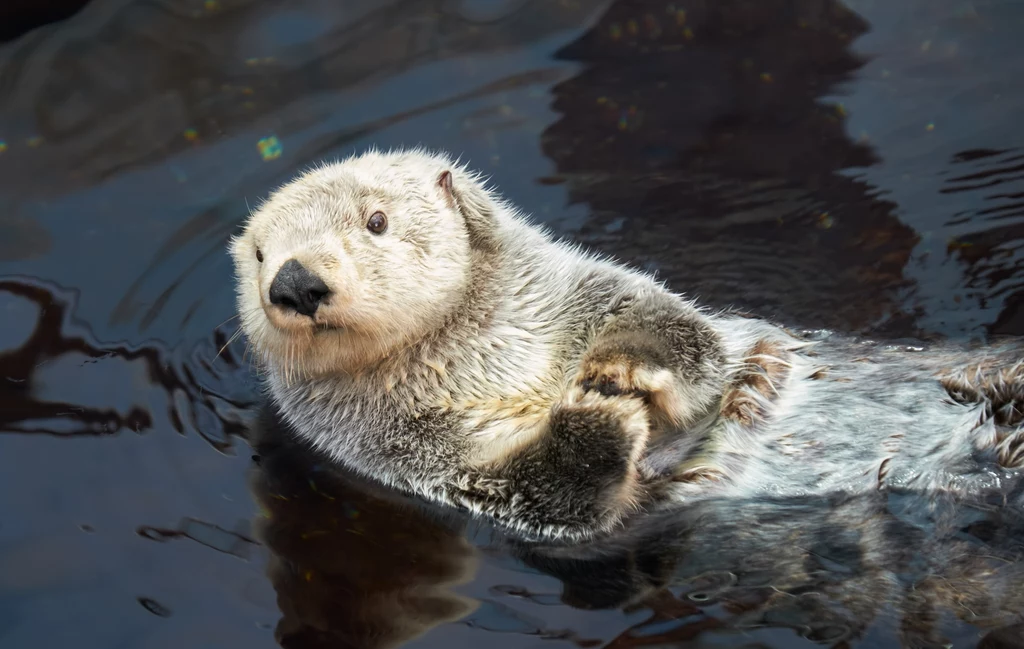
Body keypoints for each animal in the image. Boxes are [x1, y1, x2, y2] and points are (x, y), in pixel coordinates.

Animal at [228, 146, 1024, 540]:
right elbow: (537, 494)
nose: (294, 282)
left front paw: (620, 368)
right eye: (262, 255)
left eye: (377, 221)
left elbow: (681, 330)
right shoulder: (408, 455)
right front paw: (599, 416)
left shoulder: (573, 290)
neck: (472, 358)